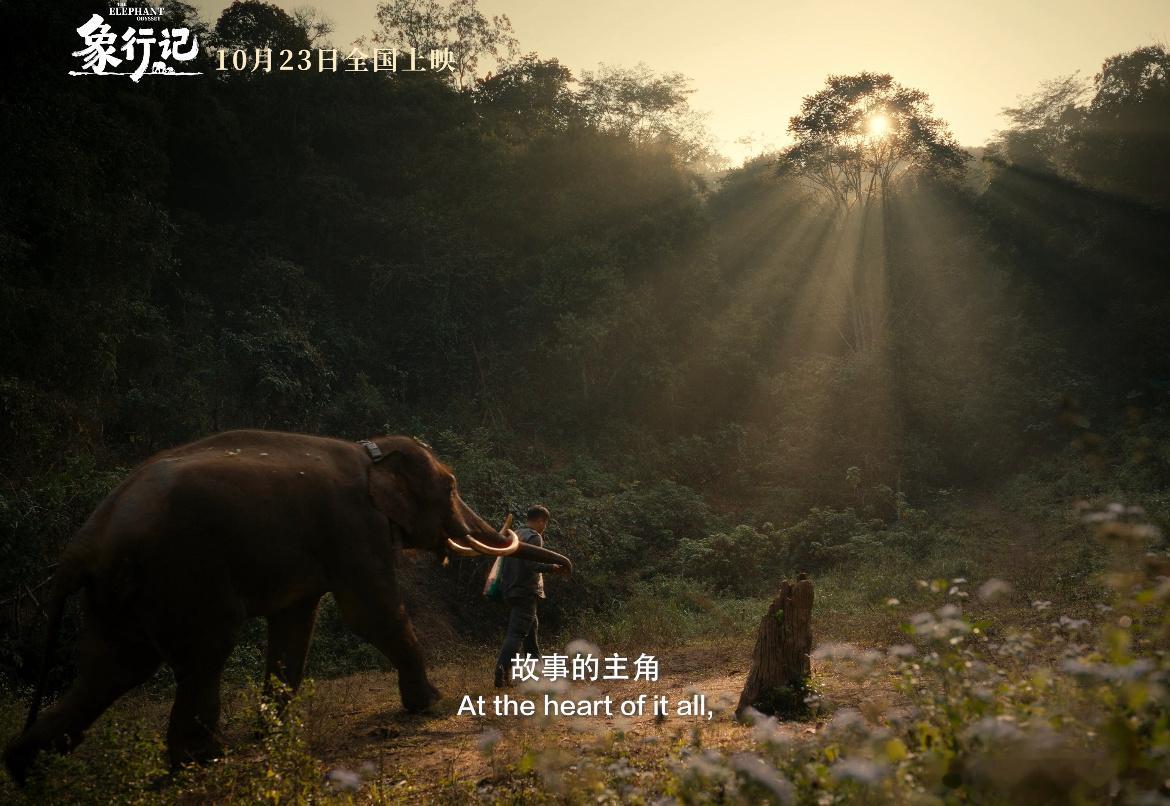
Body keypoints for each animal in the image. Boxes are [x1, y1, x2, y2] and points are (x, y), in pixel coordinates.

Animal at [3, 429, 571, 784]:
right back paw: (204, 759)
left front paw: (274, 732)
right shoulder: (352, 525)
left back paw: (26, 769)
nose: (562, 567)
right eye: (450, 486)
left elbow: (297, 621)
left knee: (113, 667)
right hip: (182, 573)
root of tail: (82, 545)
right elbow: (368, 612)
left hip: (123, 593)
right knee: (204, 651)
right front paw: (429, 703)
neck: (370, 451)